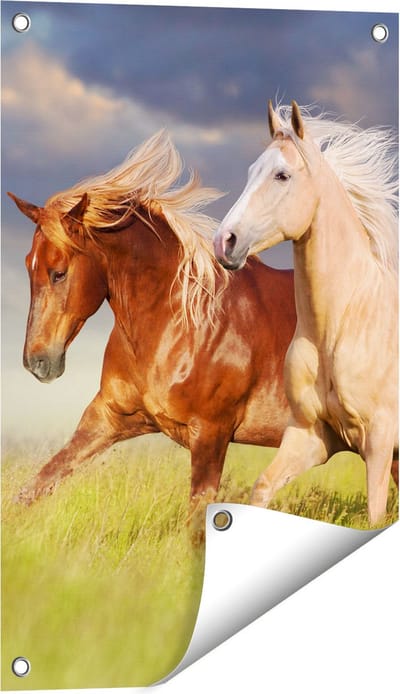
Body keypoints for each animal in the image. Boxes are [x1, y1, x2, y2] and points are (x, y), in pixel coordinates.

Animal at [8, 130, 296, 524]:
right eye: (28, 265)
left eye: (59, 272)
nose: (37, 362)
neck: (178, 325)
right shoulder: (107, 418)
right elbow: (35, 487)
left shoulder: (211, 435)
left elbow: (198, 517)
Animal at [214, 101, 398, 526]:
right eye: (251, 171)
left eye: (282, 175)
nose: (224, 242)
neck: (342, 326)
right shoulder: (311, 435)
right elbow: (264, 487)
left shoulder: (380, 441)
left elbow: (375, 515)